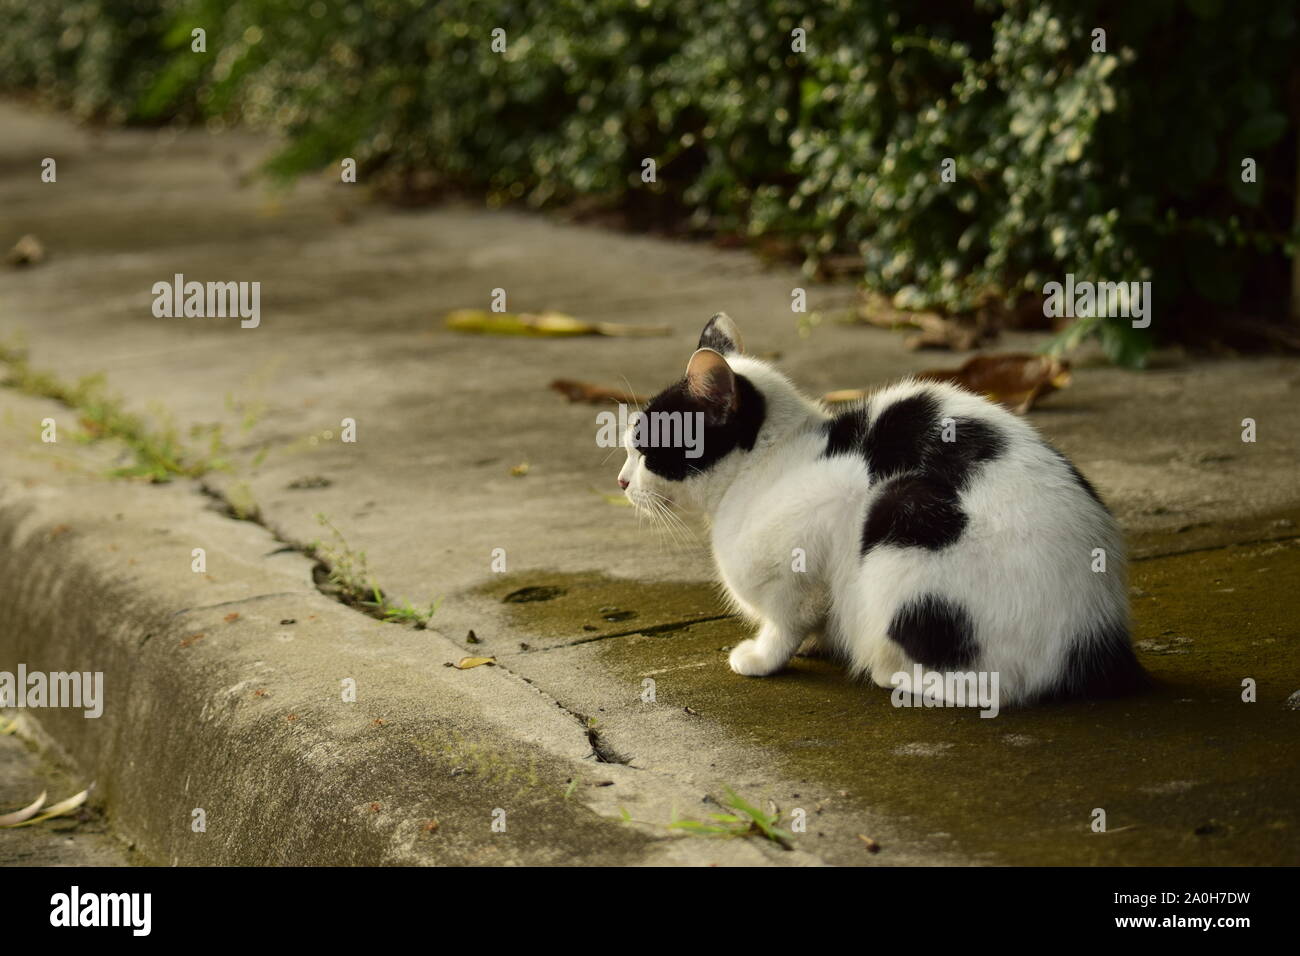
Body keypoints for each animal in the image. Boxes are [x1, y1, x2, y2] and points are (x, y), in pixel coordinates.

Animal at [621, 314, 1149, 702]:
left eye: (646, 448)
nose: (622, 481)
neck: (769, 464)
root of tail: (1099, 641)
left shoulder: (818, 529)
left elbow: (786, 622)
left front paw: (763, 657)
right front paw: (820, 643)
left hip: (898, 513)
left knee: (993, 687)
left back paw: (889, 671)